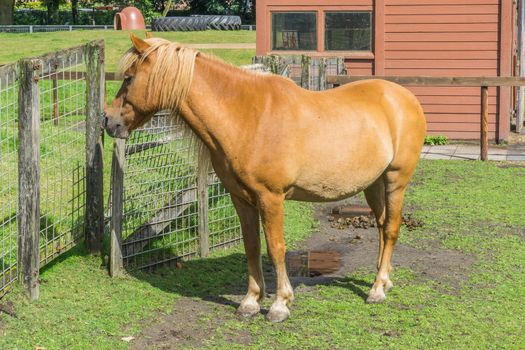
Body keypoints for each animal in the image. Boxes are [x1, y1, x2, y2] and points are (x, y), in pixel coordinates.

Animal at [103, 34, 426, 322]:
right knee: (382, 226)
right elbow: (252, 246)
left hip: (396, 180)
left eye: (129, 78)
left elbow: (276, 248)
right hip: (373, 184)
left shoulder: (271, 198)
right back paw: (383, 280)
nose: (109, 120)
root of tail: (405, 97)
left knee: (391, 228)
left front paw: (280, 304)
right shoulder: (241, 198)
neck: (248, 116)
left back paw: (377, 289)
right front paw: (250, 301)